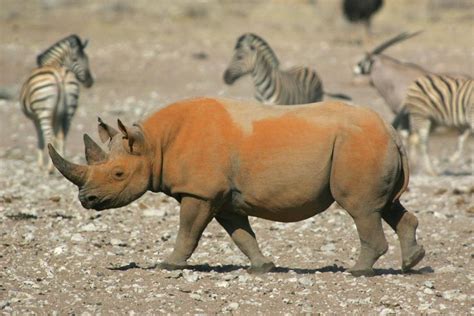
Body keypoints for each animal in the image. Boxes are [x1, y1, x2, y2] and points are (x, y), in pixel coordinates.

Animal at [20, 34, 93, 173]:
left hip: (44, 111)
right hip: (69, 110)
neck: (53, 63)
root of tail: (60, 76)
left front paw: (40, 165)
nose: (90, 81)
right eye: (77, 59)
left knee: (49, 136)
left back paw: (50, 169)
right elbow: (57, 136)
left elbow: (40, 138)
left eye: (87, 59)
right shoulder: (58, 116)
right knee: (63, 135)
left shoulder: (35, 118)